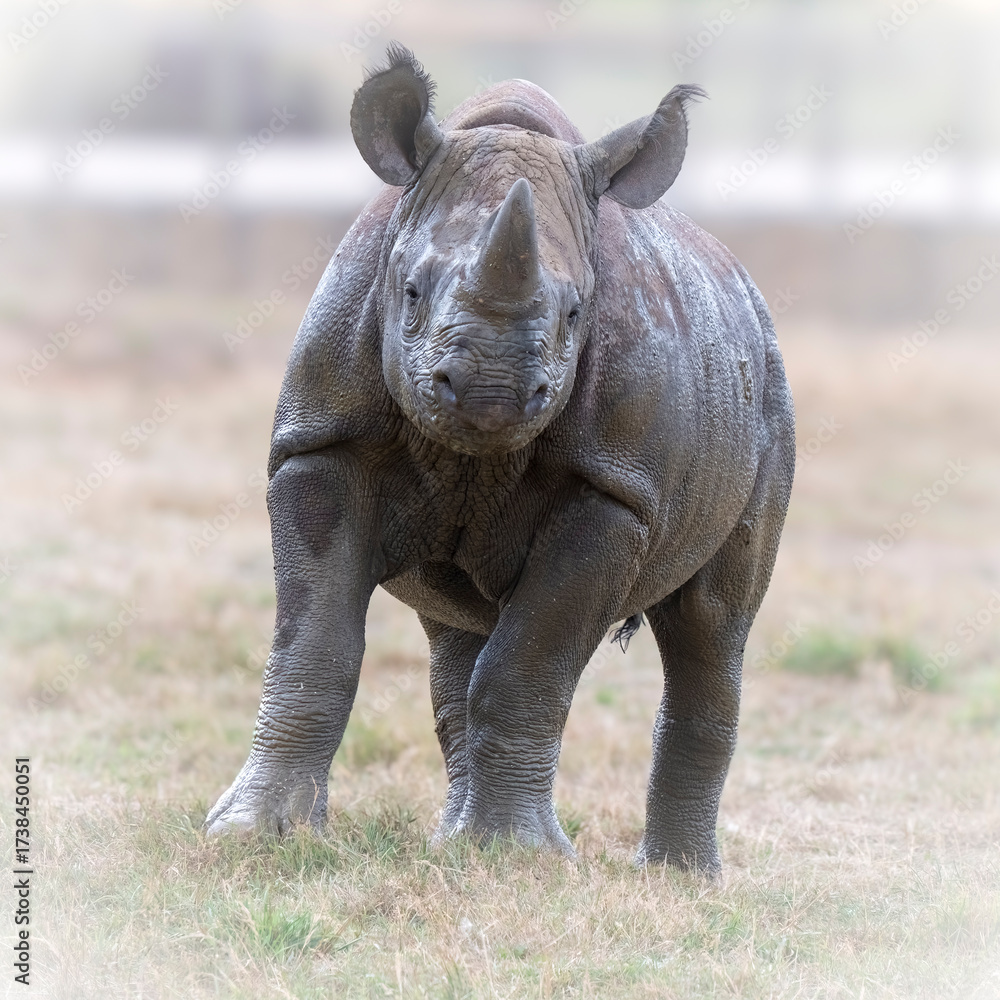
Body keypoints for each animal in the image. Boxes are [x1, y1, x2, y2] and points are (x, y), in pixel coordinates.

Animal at [206, 44, 795, 874]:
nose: (490, 388)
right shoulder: (320, 442)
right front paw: (256, 836)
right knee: (458, 629)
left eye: (578, 313)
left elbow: (530, 665)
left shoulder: (613, 489)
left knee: (711, 625)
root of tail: (743, 284)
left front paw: (522, 861)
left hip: (766, 389)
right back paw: (456, 844)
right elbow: (314, 646)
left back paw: (679, 881)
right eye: (408, 291)